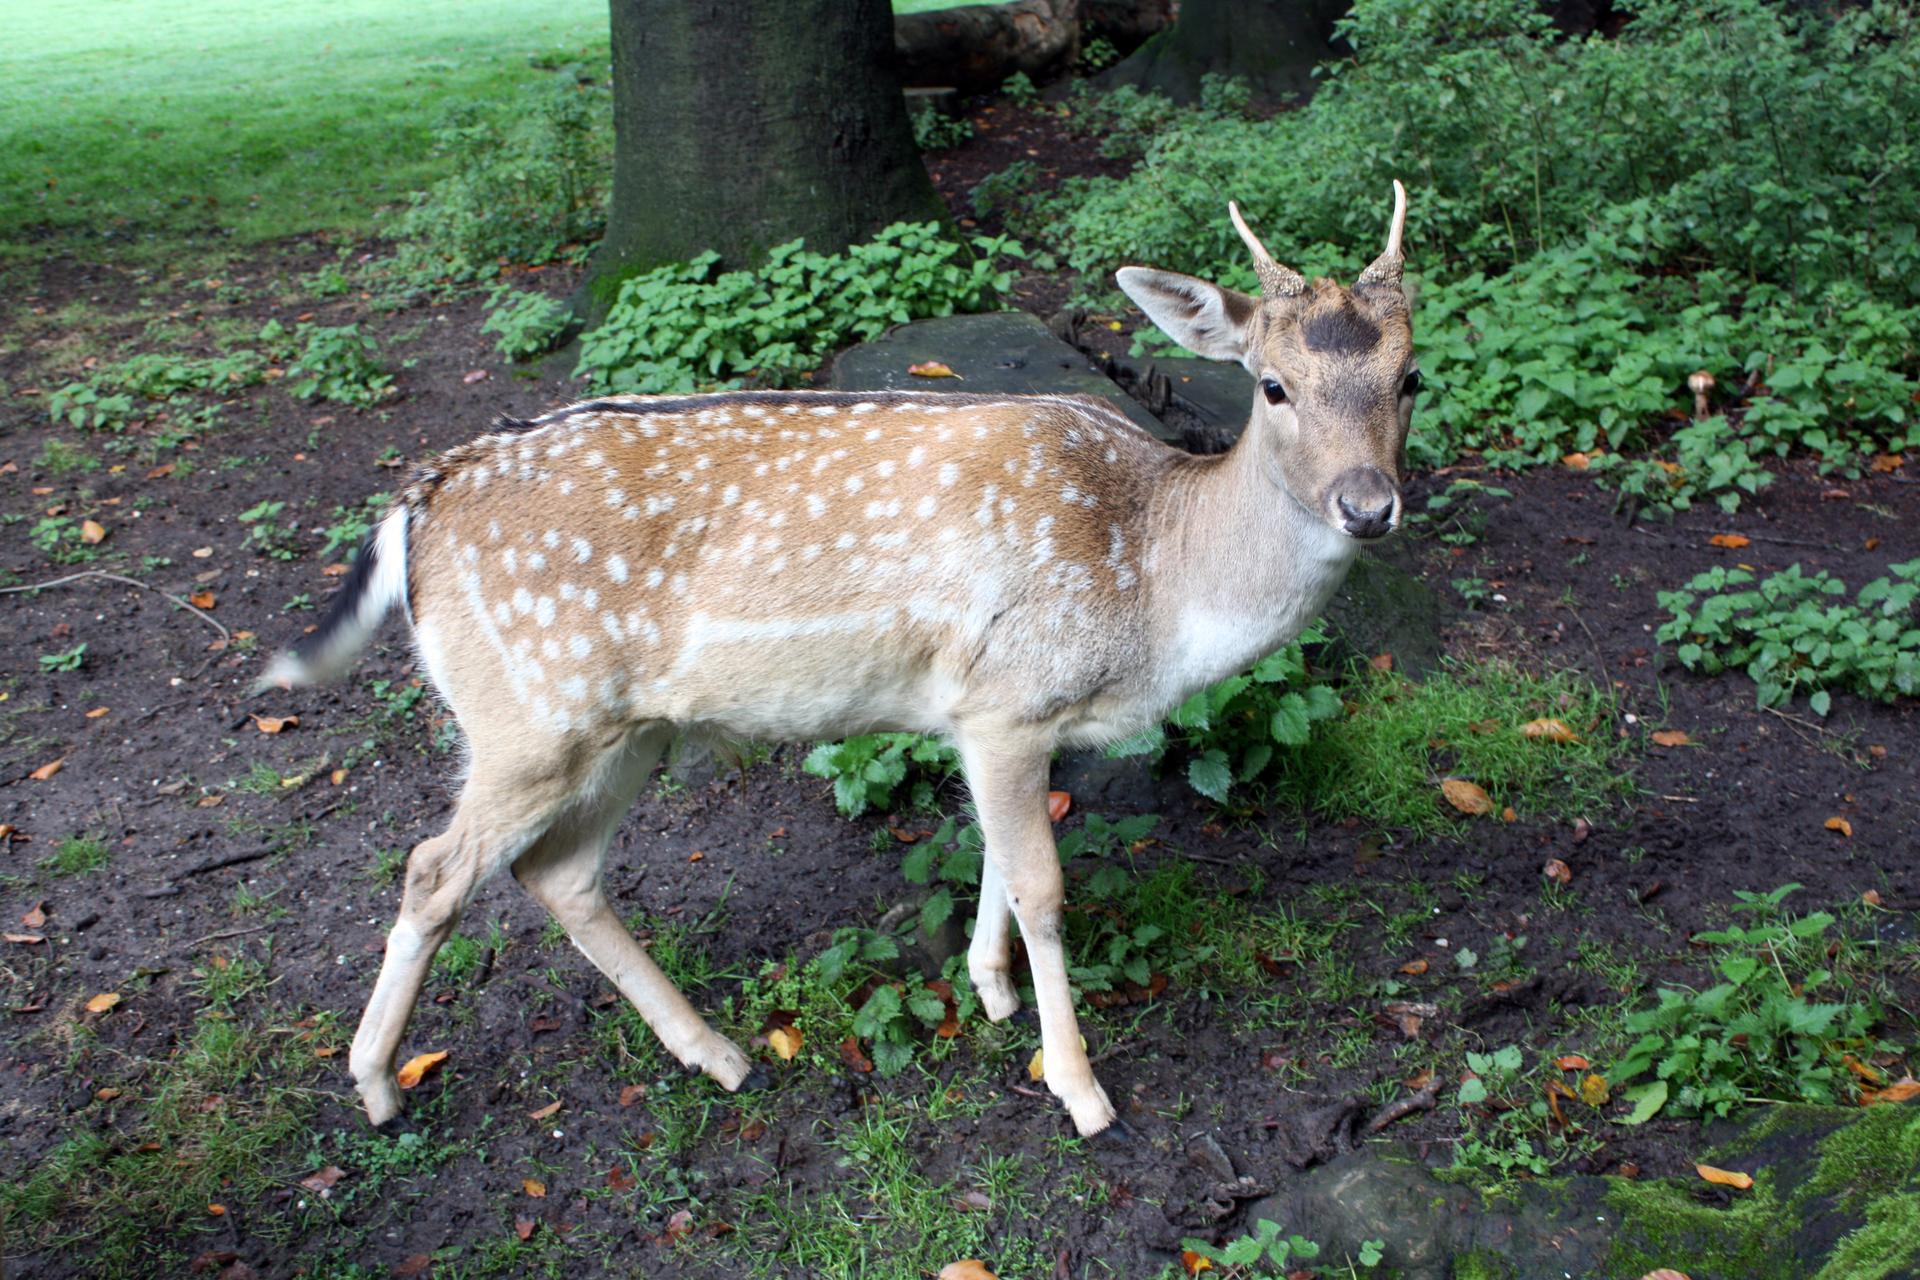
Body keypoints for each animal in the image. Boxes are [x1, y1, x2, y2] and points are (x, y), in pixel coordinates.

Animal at [263, 180, 1420, 1143]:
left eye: (1412, 376)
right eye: (1269, 385)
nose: (1369, 504)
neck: (1156, 587)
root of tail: (416, 504)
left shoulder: (981, 712)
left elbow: (996, 853)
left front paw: (989, 989)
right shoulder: (1009, 697)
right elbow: (1044, 884)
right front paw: (1079, 1088)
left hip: (628, 729)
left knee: (558, 871)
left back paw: (719, 1053)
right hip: (528, 713)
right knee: (434, 868)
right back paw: (377, 1086)